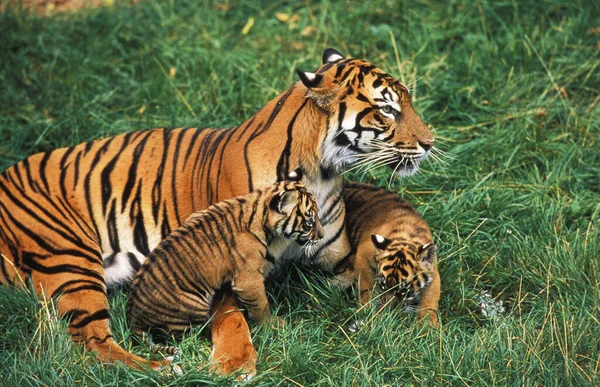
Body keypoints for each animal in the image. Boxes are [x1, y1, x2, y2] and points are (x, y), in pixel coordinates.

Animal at [0, 48, 432, 372]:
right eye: (387, 110)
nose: (430, 143)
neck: (322, 173)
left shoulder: (339, 258)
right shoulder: (222, 261)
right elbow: (233, 317)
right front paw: (236, 364)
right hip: (70, 257)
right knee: (90, 342)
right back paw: (162, 368)